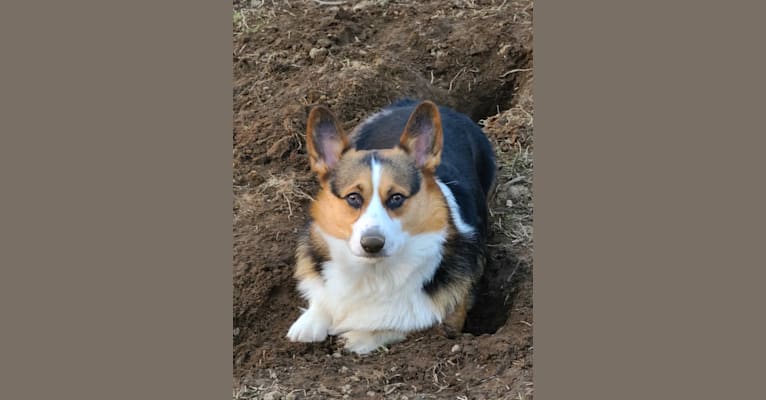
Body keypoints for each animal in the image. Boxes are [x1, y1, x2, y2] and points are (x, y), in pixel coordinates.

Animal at [284, 98, 496, 354]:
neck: (374, 273)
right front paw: (309, 324)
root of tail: (411, 102)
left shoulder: (447, 323)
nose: (372, 244)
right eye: (353, 197)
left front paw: (357, 338)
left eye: (396, 197)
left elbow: (399, 324)